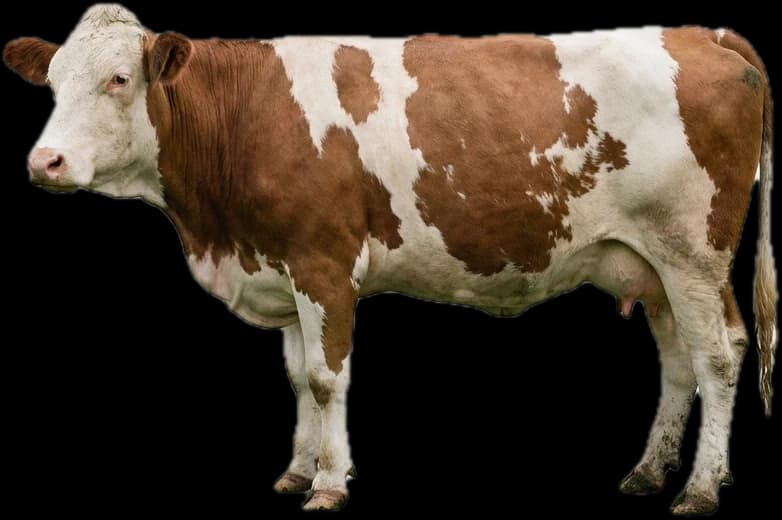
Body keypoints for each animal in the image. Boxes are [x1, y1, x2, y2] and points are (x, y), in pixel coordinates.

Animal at [4, 4, 776, 515]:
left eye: (118, 79)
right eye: (53, 83)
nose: (45, 161)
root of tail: (701, 34)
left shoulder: (323, 263)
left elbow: (325, 378)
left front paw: (327, 484)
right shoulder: (281, 267)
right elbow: (295, 376)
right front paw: (296, 470)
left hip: (693, 251)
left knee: (718, 356)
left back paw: (699, 488)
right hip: (652, 264)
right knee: (679, 360)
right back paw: (650, 472)